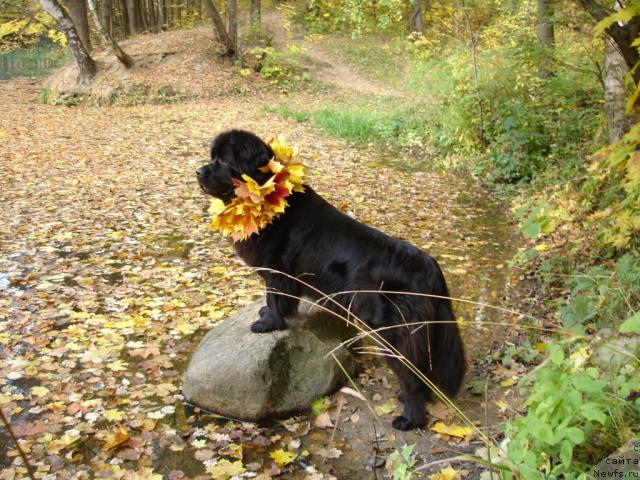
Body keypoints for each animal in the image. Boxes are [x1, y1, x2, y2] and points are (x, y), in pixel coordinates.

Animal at [195, 128, 464, 432]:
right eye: (212, 157)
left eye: (224, 160)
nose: (198, 171)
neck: (267, 195)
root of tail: (430, 267)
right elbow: (281, 300)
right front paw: (270, 315)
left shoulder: (277, 270)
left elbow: (275, 297)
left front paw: (268, 324)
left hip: (396, 333)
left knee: (412, 377)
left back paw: (409, 418)